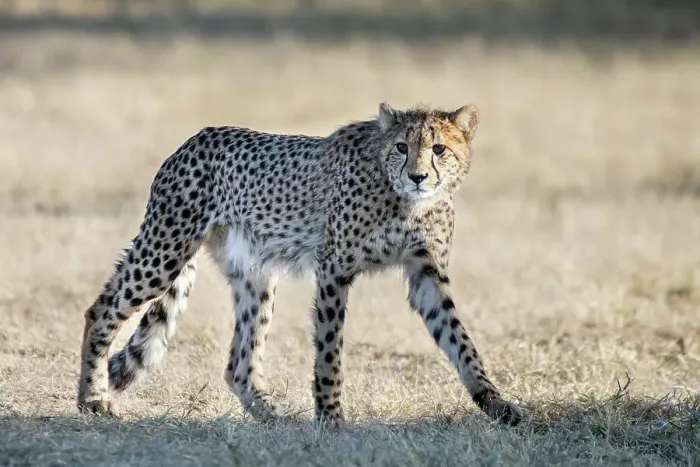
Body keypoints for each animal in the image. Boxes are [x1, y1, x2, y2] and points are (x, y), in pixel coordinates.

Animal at [77, 102, 522, 426]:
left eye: (439, 149)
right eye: (401, 147)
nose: (417, 176)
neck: (405, 200)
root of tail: (193, 140)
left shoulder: (426, 273)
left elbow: (461, 341)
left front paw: (496, 403)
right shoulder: (334, 269)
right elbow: (329, 349)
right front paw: (331, 417)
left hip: (255, 276)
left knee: (238, 363)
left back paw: (274, 417)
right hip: (165, 250)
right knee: (101, 309)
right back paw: (92, 398)